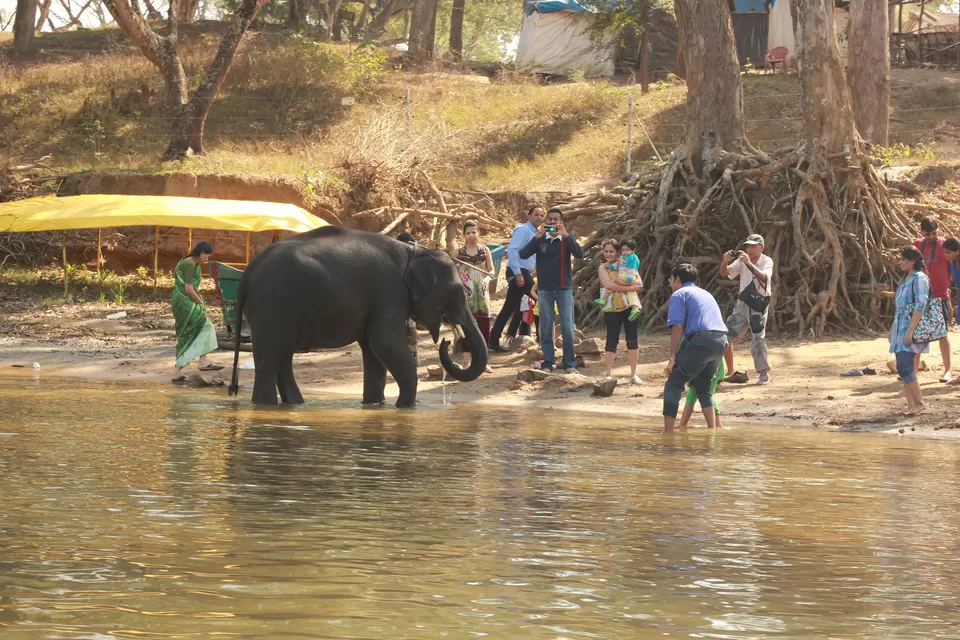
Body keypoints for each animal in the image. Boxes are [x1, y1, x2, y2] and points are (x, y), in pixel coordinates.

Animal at [227, 227, 488, 406]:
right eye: (457, 291)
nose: (446, 340)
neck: (414, 252)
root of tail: (247, 273)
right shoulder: (388, 293)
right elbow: (385, 344)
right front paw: (405, 406)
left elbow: (373, 350)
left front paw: (373, 405)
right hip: (271, 304)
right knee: (270, 359)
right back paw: (265, 406)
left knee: (283, 356)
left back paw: (295, 404)